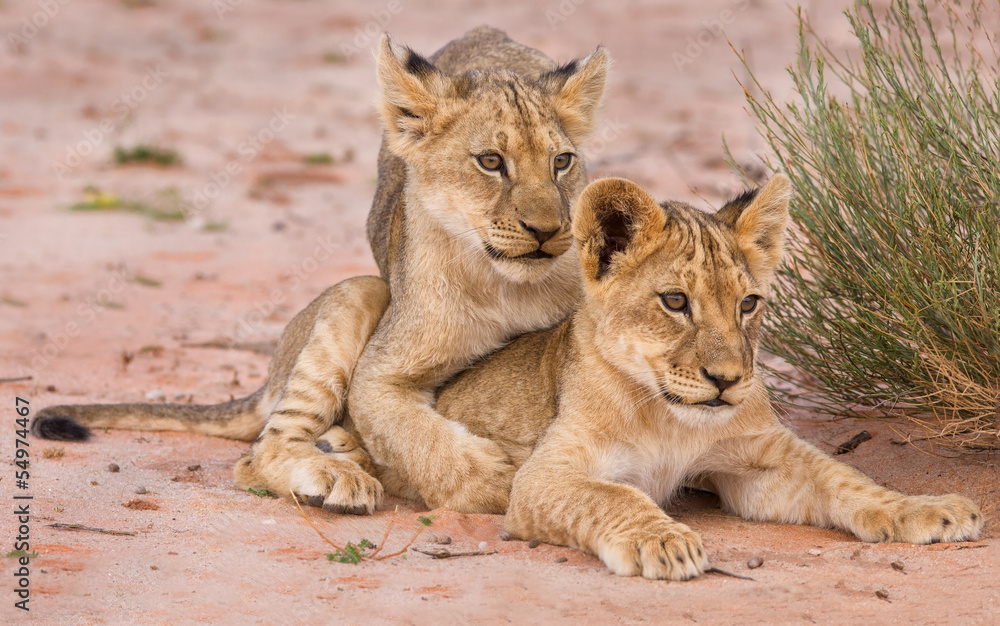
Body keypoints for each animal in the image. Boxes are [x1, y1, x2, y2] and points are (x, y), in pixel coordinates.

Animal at [32, 27, 609, 515]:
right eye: (490, 161)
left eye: (561, 162)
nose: (547, 230)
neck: (512, 290)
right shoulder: (381, 367)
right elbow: (408, 429)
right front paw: (490, 478)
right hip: (360, 290)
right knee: (258, 454)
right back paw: (334, 476)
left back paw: (342, 449)